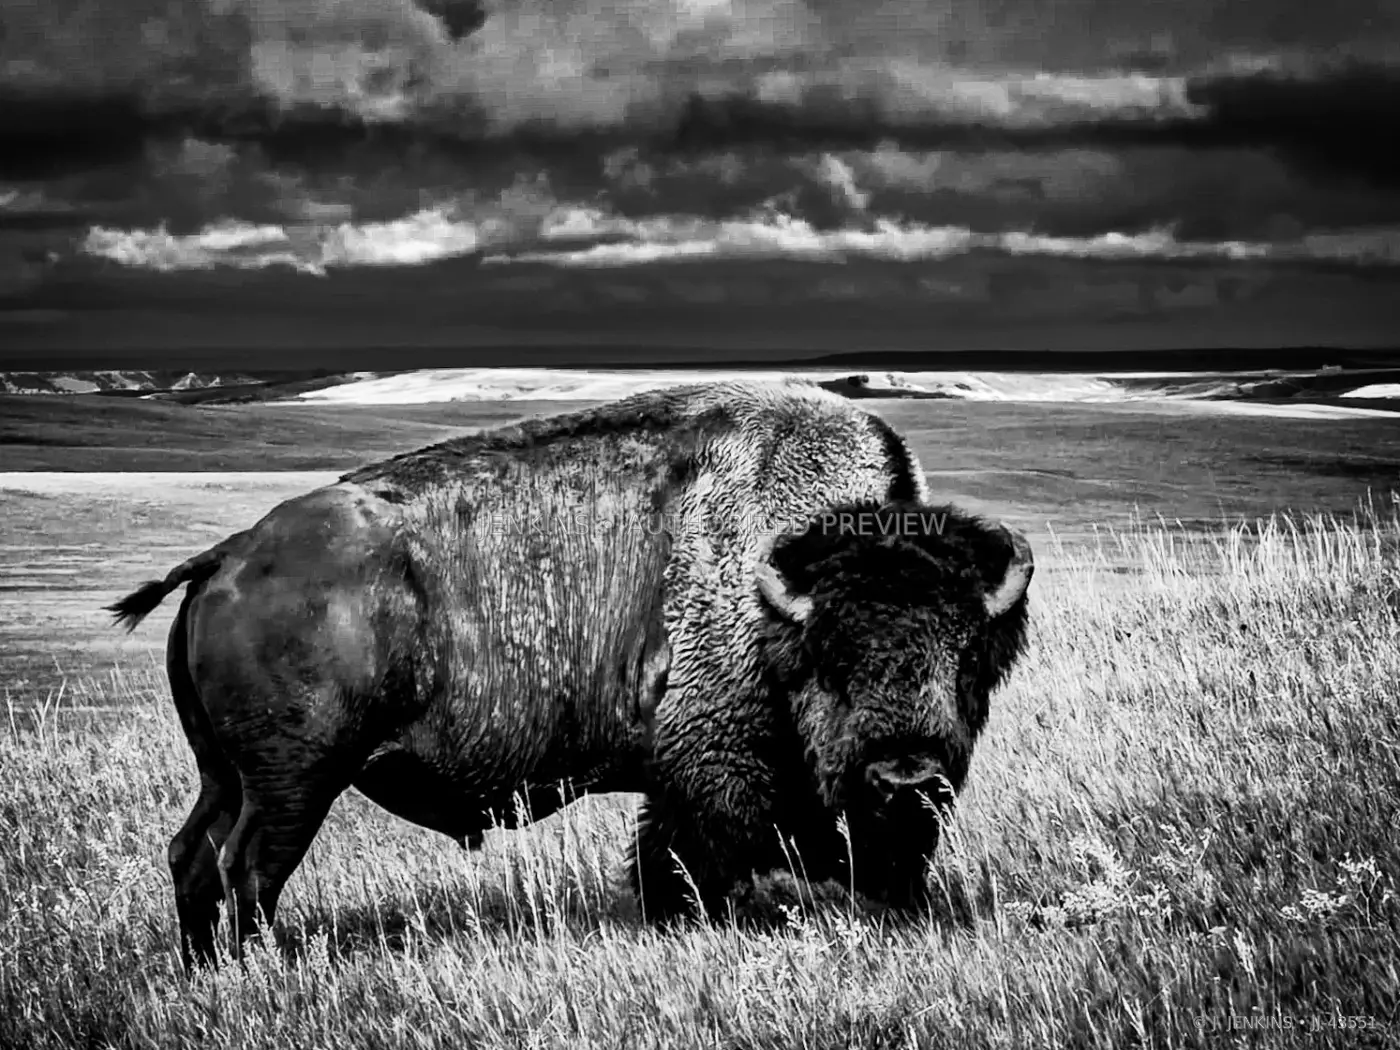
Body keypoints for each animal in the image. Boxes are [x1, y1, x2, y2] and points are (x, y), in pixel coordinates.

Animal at [108, 379, 1032, 968]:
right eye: (830, 660)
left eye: (967, 656)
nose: (906, 778)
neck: (776, 601)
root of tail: (228, 556)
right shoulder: (717, 778)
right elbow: (719, 867)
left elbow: (666, 862)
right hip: (293, 783)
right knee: (248, 870)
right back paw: (258, 969)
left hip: (228, 775)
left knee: (193, 856)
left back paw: (203, 970)